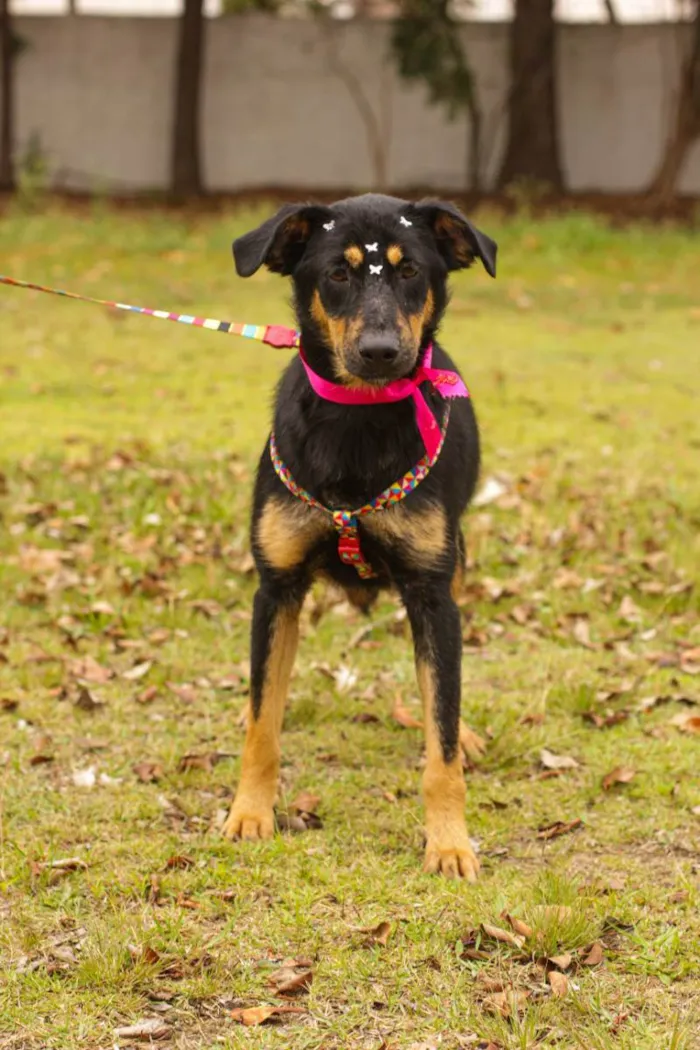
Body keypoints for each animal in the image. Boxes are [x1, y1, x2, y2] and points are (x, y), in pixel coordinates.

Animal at [221, 195, 495, 877]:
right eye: (337, 274)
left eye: (410, 271)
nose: (380, 351)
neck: (359, 421)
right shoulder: (276, 589)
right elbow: (263, 726)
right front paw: (249, 813)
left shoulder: (432, 596)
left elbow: (441, 738)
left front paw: (449, 842)